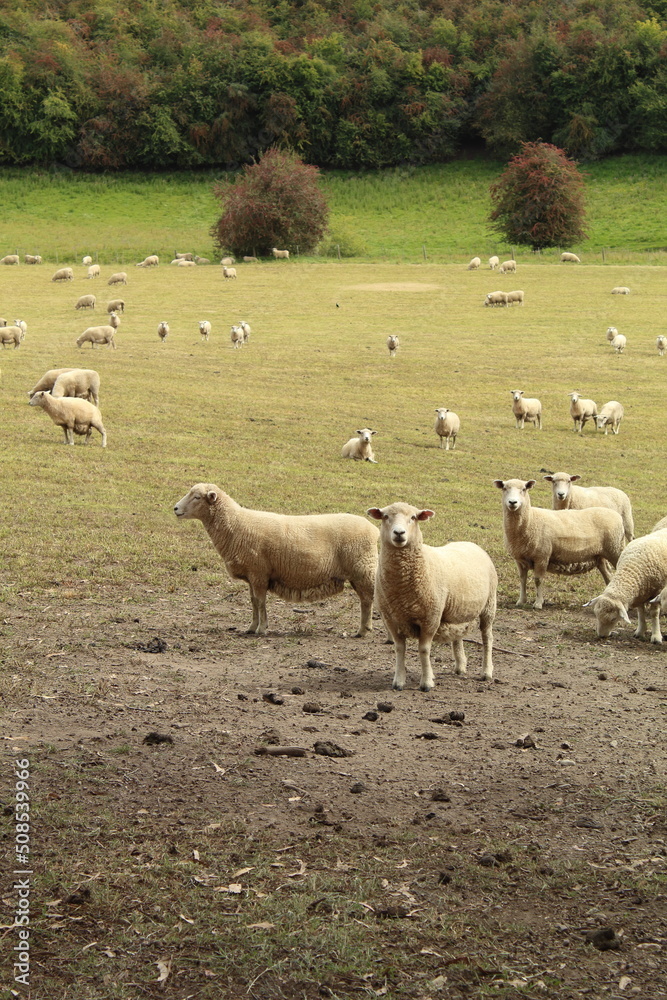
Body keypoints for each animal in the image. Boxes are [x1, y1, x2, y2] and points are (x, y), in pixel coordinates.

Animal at [173, 484, 379, 637]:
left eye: (197, 497)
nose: (175, 508)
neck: (236, 524)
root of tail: (373, 529)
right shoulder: (252, 575)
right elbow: (253, 601)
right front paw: (251, 627)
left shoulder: (259, 573)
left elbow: (260, 601)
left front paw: (262, 628)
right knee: (366, 599)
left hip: (362, 569)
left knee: (368, 599)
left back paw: (363, 631)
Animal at [367, 503, 497, 689]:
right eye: (385, 516)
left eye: (413, 517)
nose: (399, 533)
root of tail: (471, 544)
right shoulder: (391, 618)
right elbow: (399, 648)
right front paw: (399, 681)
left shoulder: (431, 617)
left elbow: (424, 650)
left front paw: (427, 682)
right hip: (457, 611)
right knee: (458, 636)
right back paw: (460, 667)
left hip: (489, 606)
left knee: (487, 638)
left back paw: (486, 672)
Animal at [494, 478, 625, 609]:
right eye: (504, 488)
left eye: (524, 489)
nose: (512, 502)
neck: (530, 520)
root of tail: (616, 515)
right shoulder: (519, 559)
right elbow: (522, 579)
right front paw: (521, 601)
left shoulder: (542, 556)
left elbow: (538, 580)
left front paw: (538, 603)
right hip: (600, 555)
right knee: (608, 576)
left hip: (615, 549)